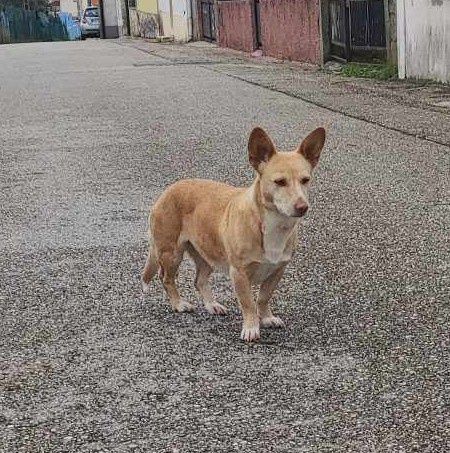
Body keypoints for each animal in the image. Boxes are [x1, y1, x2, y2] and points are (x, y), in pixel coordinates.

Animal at [143, 125, 326, 340]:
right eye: (280, 182)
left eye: (306, 180)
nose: (302, 207)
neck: (271, 224)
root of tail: (169, 190)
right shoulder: (239, 273)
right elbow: (248, 303)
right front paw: (251, 327)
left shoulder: (277, 271)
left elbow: (263, 298)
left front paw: (266, 317)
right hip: (171, 253)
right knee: (166, 278)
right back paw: (178, 304)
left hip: (208, 254)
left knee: (199, 281)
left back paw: (212, 305)